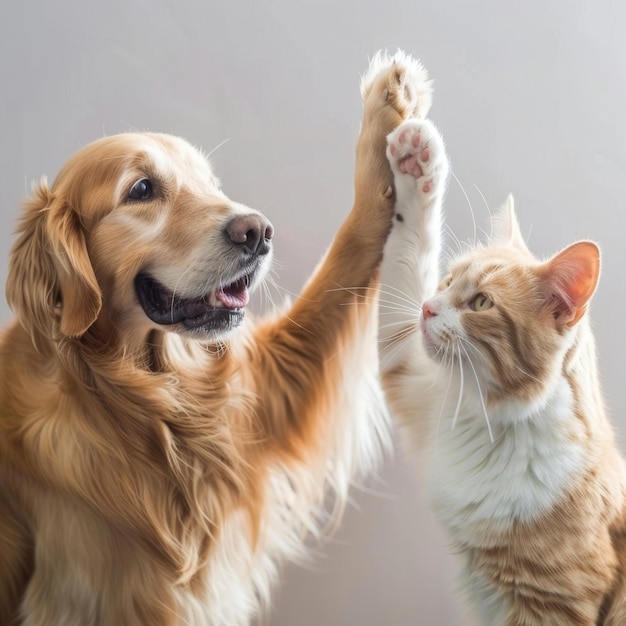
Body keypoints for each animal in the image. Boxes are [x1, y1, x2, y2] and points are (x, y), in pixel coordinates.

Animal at [0, 51, 428, 620]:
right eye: (141, 189)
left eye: (210, 184)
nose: (258, 232)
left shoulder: (270, 389)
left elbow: (350, 250)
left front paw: (390, 108)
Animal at [378, 111, 624, 620]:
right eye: (446, 281)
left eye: (481, 303)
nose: (428, 309)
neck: (493, 421)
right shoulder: (408, 364)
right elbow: (410, 247)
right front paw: (417, 164)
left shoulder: (553, 601)